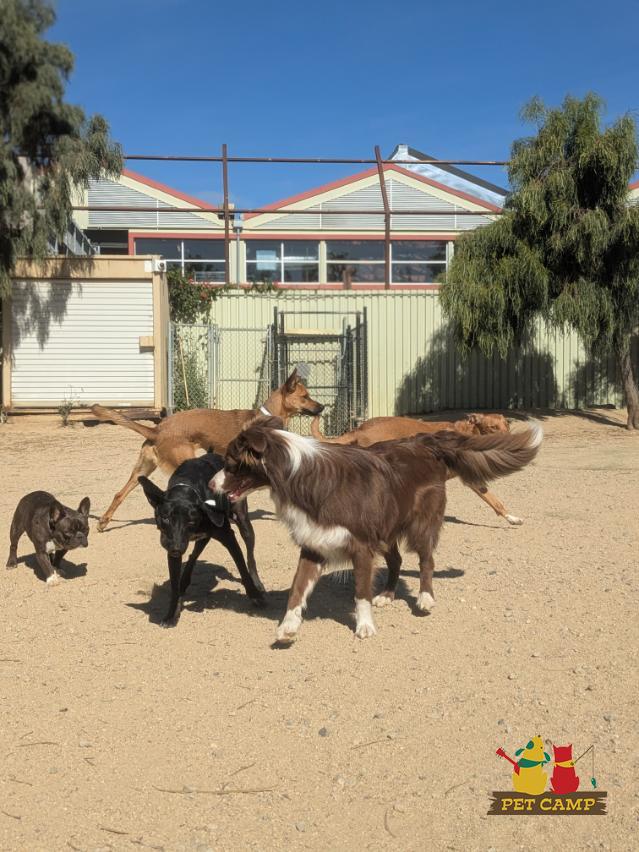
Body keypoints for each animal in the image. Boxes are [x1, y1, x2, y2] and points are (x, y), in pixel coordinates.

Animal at [92, 368, 324, 531]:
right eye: (305, 396)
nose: (322, 407)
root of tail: (157, 429)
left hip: (142, 469)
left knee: (119, 494)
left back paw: (103, 522)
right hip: (183, 463)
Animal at [139, 453, 266, 627]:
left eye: (191, 521)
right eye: (165, 518)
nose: (175, 548)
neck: (186, 487)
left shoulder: (228, 537)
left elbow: (243, 569)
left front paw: (255, 595)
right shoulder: (174, 546)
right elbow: (174, 586)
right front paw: (172, 615)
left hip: (243, 521)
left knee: (250, 556)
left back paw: (257, 583)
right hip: (202, 536)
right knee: (194, 554)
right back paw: (184, 581)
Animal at [310, 413, 523, 525]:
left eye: (506, 426)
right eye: (493, 428)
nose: (512, 439)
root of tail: (360, 429)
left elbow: (495, 501)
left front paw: (512, 518)